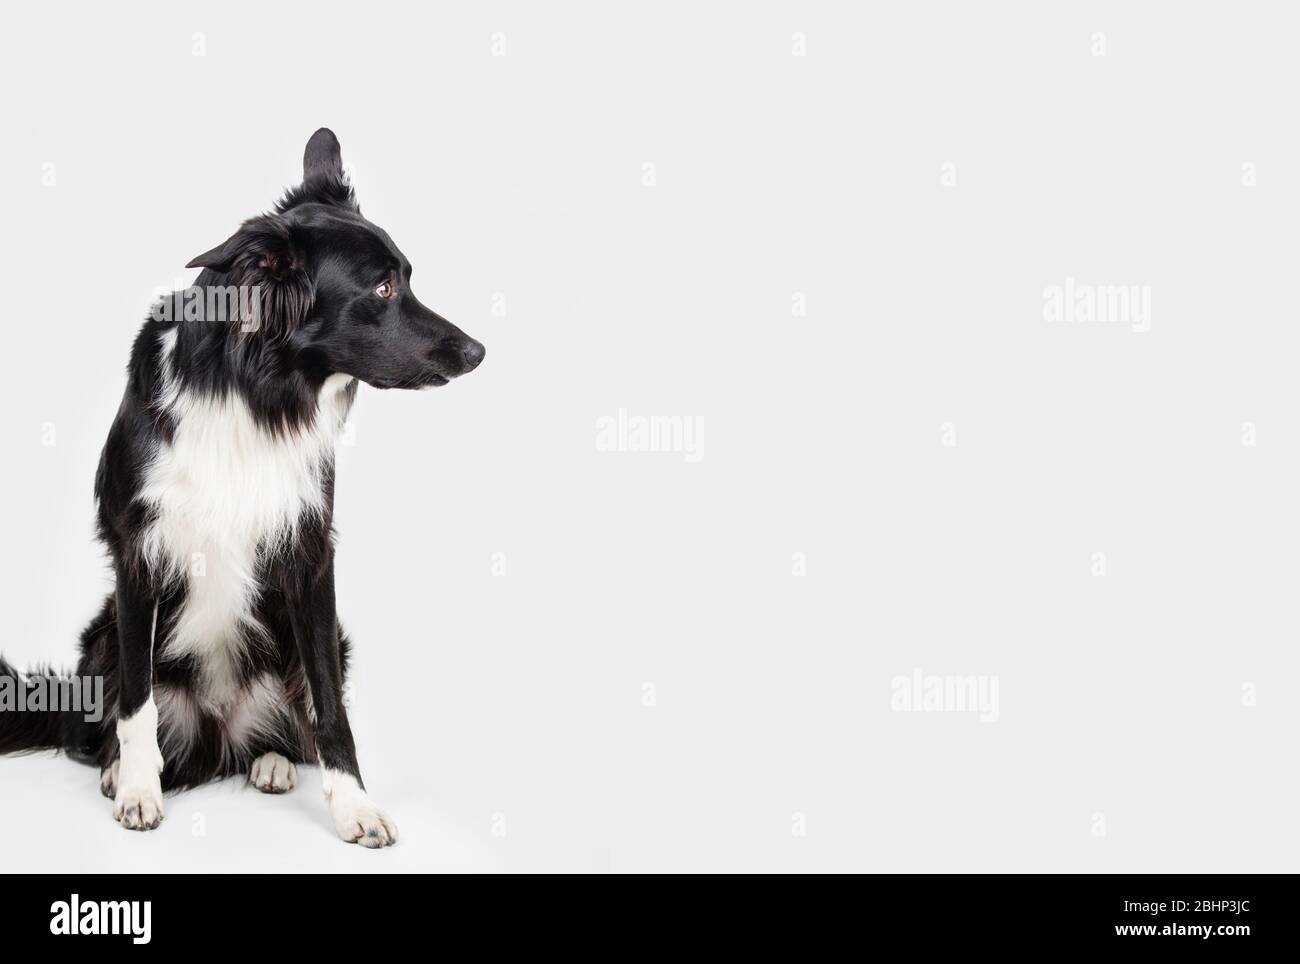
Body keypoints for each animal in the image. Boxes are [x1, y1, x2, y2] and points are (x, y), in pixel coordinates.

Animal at [0, 130, 486, 852]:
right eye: (382, 287)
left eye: (405, 278)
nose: (478, 351)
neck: (256, 393)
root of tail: (217, 737)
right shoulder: (138, 552)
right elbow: (136, 701)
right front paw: (139, 790)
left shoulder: (309, 554)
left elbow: (329, 707)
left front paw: (354, 806)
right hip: (100, 636)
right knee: (111, 720)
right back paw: (121, 771)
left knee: (294, 716)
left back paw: (272, 760)